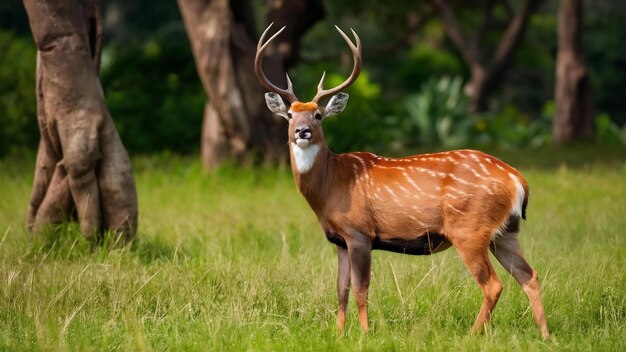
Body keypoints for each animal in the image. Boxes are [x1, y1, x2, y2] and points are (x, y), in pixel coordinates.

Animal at [254, 23, 544, 340]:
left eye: (318, 115)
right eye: (290, 115)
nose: (302, 131)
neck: (330, 186)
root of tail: (517, 180)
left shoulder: (359, 232)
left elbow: (361, 289)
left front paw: (365, 333)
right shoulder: (339, 239)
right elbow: (341, 290)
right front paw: (339, 334)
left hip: (470, 228)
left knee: (493, 284)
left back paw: (472, 335)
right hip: (505, 232)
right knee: (529, 276)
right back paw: (546, 334)